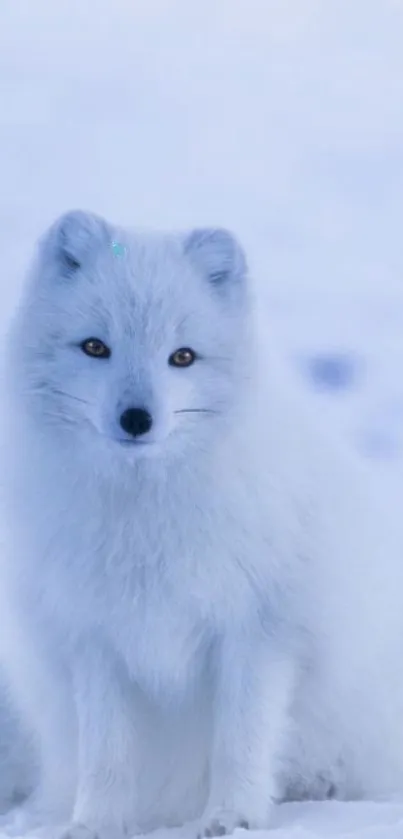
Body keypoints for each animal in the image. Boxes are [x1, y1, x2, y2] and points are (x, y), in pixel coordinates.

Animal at [1, 208, 403, 839]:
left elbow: (241, 739)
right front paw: (96, 823)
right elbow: (107, 752)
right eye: (95, 346)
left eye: (183, 357)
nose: (136, 419)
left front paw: (232, 817)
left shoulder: (257, 631)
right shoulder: (95, 638)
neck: (145, 519)